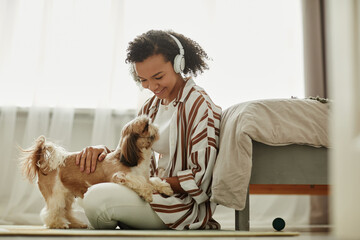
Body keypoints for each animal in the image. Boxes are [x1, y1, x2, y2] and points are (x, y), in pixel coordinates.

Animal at [19, 115, 174, 230]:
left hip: (67, 195)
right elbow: (139, 182)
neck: (131, 159)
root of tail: (45, 164)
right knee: (53, 211)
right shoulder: (120, 176)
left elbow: (153, 181)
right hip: (56, 195)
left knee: (66, 211)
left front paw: (165, 188)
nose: (154, 125)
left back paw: (76, 223)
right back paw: (58, 224)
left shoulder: (145, 176)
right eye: (146, 126)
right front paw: (147, 193)